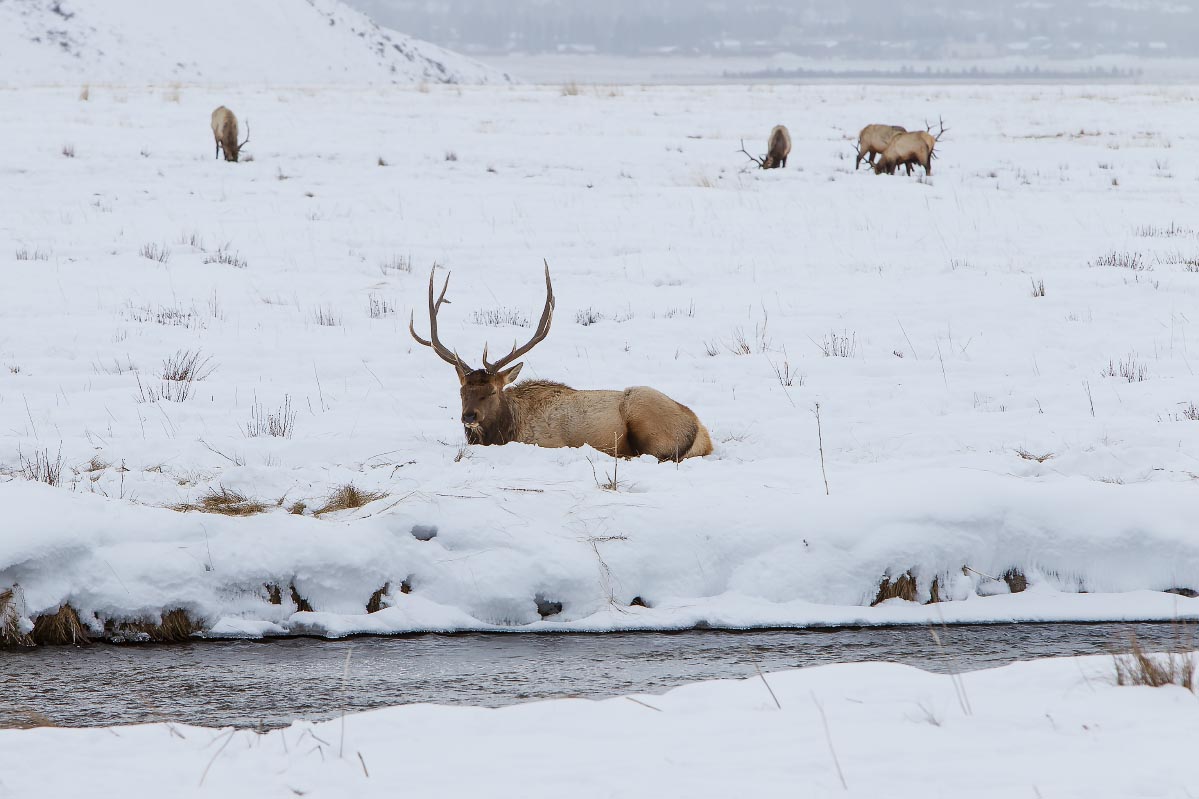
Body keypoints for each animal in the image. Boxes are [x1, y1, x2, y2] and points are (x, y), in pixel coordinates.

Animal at [412, 261, 709, 460]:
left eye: (493, 391)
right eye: (462, 390)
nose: (469, 416)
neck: (509, 429)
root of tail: (701, 432)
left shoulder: (547, 442)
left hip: (644, 413)